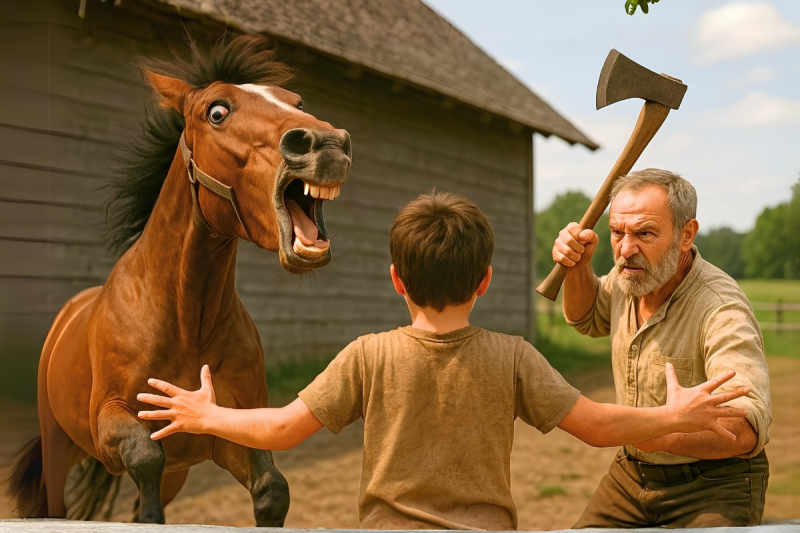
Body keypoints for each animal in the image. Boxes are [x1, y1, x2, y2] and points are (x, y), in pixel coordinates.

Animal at [7, 35, 351, 525]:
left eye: (298, 102)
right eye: (217, 111)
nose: (326, 144)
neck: (188, 322)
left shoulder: (231, 429)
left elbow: (271, 489)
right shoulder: (110, 423)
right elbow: (145, 460)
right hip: (60, 447)